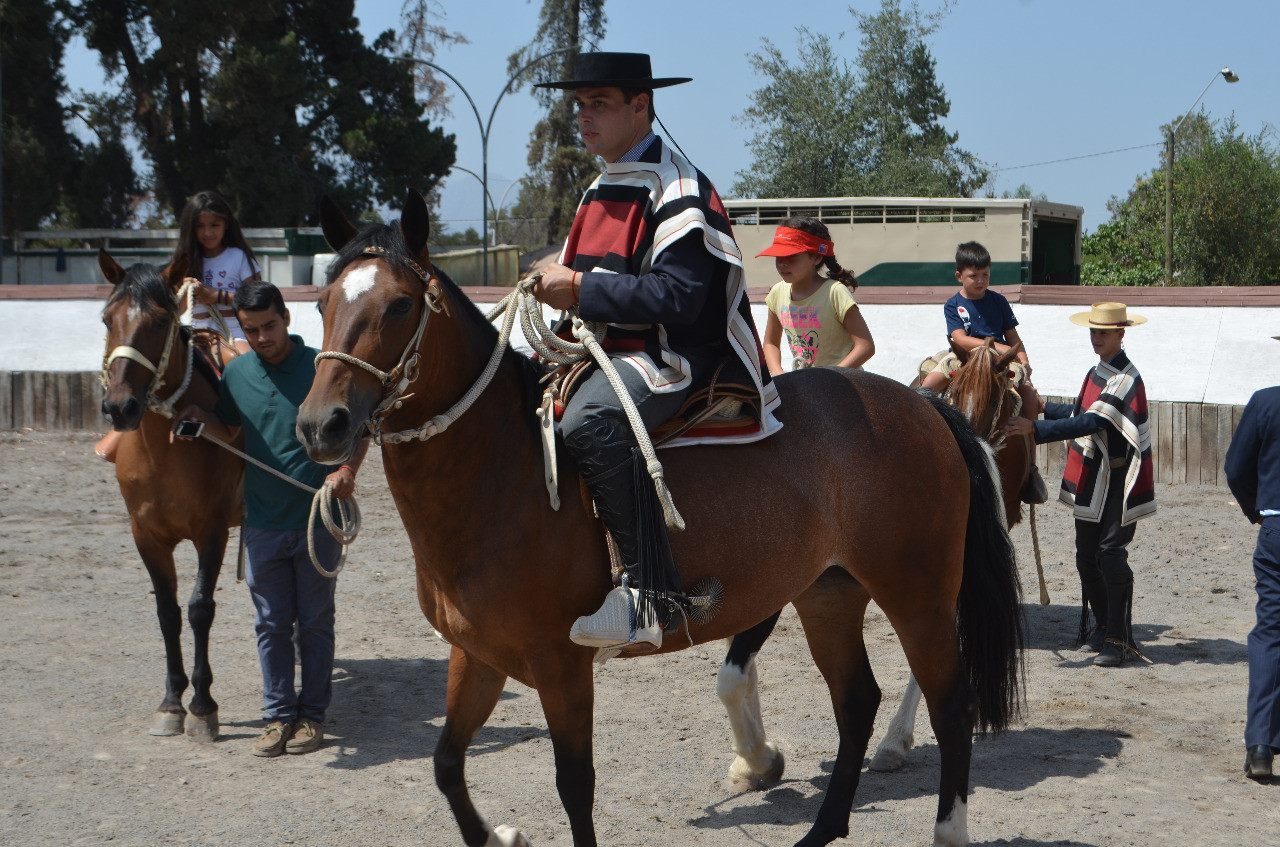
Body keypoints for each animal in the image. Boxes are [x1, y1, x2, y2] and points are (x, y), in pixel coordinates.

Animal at [98, 250, 243, 742]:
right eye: (107, 319)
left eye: (160, 321)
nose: (119, 407)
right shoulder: (146, 536)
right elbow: (167, 612)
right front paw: (171, 701)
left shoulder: (212, 532)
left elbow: (200, 609)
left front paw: (202, 705)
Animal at [296, 191, 1018, 847]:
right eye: (325, 303)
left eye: (398, 305)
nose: (320, 424)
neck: (503, 470)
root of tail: (925, 407)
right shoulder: (475, 655)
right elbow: (447, 763)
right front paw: (500, 835)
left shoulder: (560, 665)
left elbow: (575, 784)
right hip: (828, 592)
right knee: (857, 700)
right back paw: (821, 828)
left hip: (917, 592)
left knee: (950, 703)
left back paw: (948, 829)